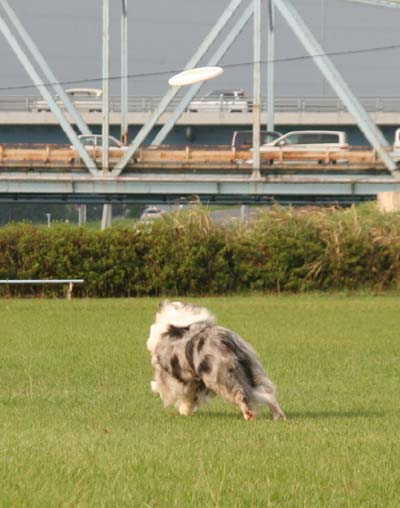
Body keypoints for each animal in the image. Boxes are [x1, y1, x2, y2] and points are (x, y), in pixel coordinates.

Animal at [148, 302, 286, 420]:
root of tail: (224, 339)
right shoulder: (195, 382)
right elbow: (190, 398)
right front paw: (185, 410)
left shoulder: (173, 378)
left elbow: (164, 388)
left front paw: (155, 387)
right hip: (251, 371)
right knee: (266, 393)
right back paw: (279, 416)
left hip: (221, 379)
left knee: (241, 396)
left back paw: (249, 415)